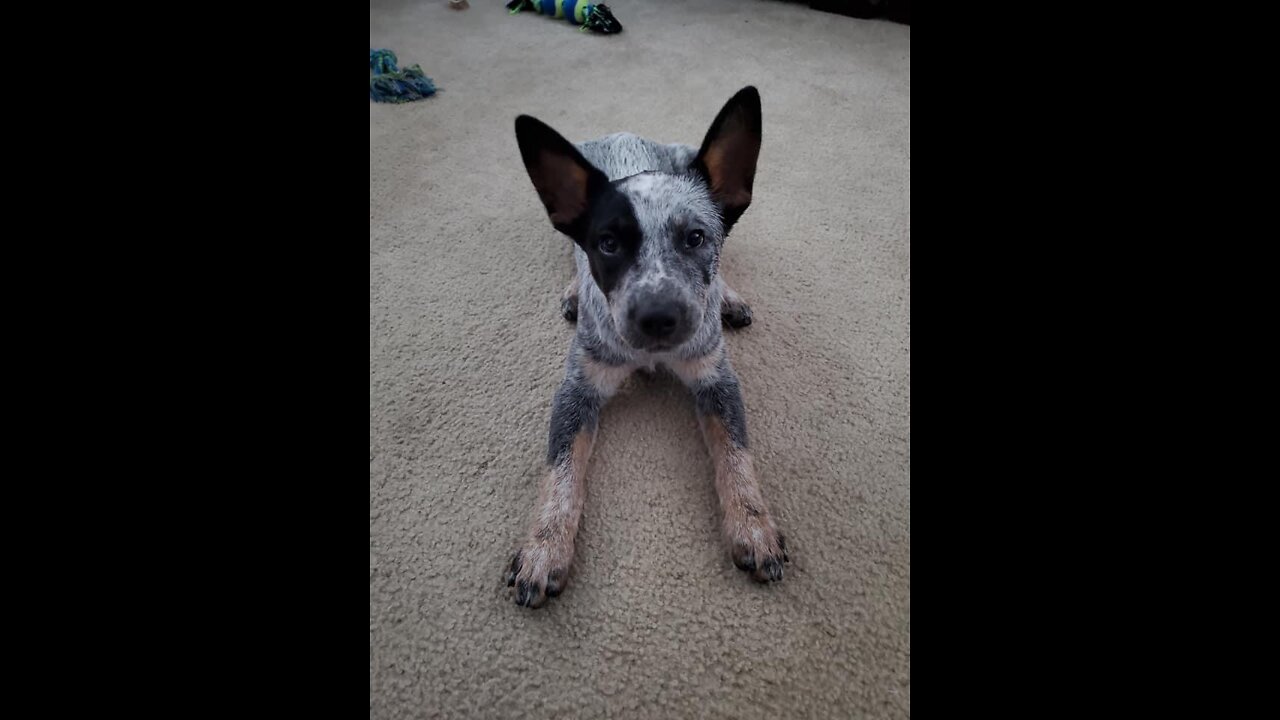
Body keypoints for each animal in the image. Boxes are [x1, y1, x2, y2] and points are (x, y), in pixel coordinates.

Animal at [501, 88, 783, 604]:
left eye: (695, 237)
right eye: (608, 244)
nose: (657, 317)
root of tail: (622, 132)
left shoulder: (716, 380)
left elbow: (737, 455)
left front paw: (753, 527)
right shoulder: (577, 390)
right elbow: (560, 471)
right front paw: (544, 549)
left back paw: (728, 298)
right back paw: (574, 291)